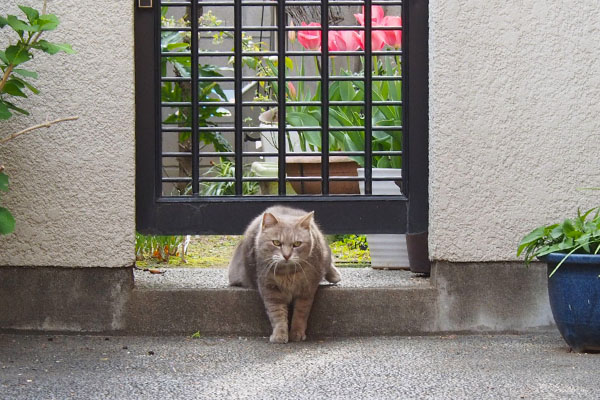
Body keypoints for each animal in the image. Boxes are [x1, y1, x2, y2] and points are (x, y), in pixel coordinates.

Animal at [230, 206, 340, 344]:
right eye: (276, 242)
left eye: (297, 244)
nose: (286, 255)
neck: (288, 273)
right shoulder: (271, 290)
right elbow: (277, 314)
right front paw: (280, 334)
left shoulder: (306, 290)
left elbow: (301, 313)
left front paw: (297, 333)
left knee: (328, 263)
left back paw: (335, 275)